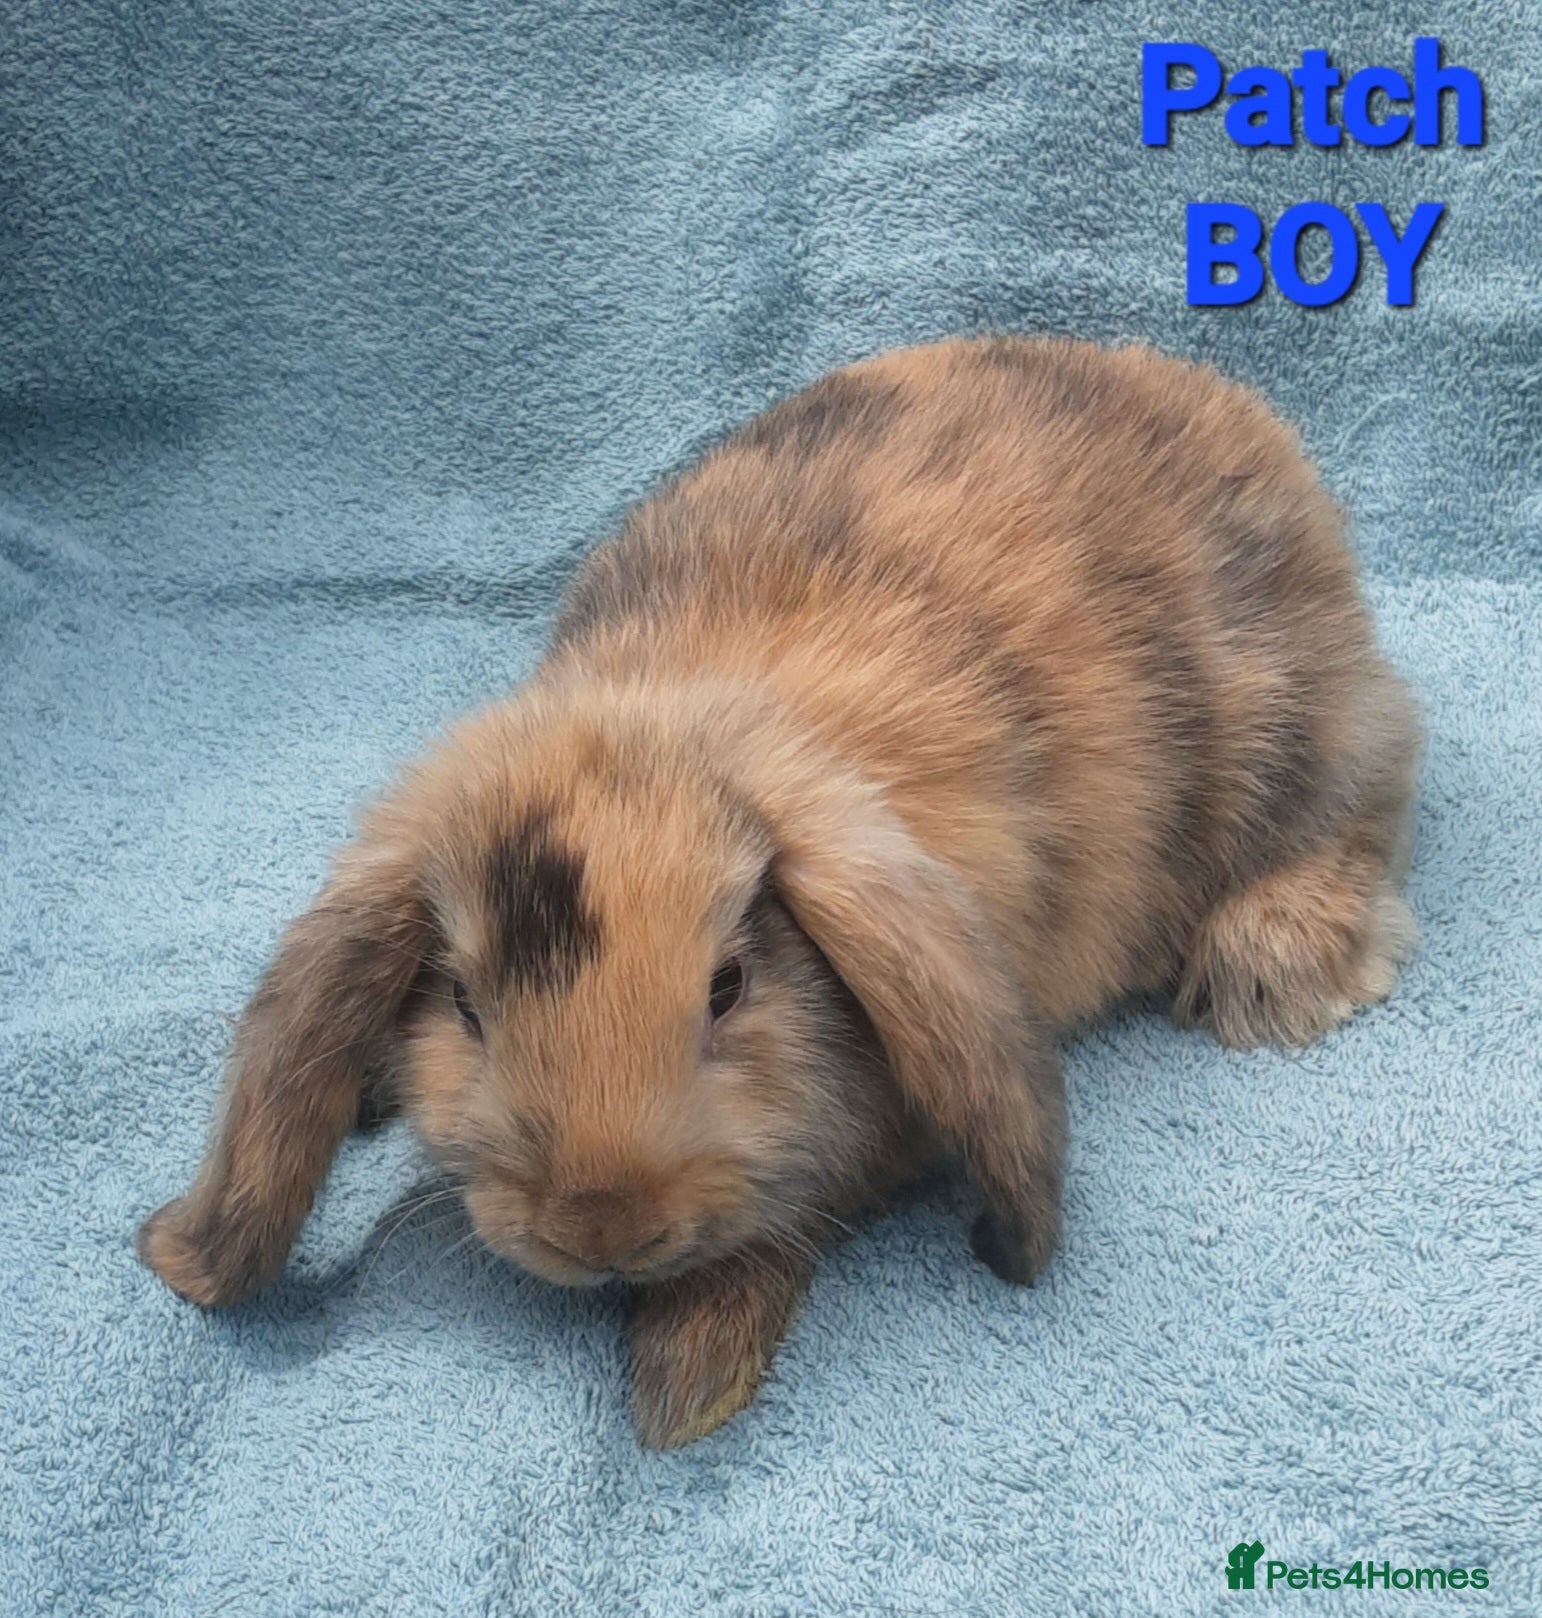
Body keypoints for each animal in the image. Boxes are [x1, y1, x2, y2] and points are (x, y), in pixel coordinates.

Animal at [138, 335, 1420, 1448]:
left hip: (1294, 734)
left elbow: (787, 1227)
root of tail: (1232, 410)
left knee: (1371, 792)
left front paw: (686, 1375)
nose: (605, 1224)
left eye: (729, 985)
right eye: (460, 1004)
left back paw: (1275, 972)